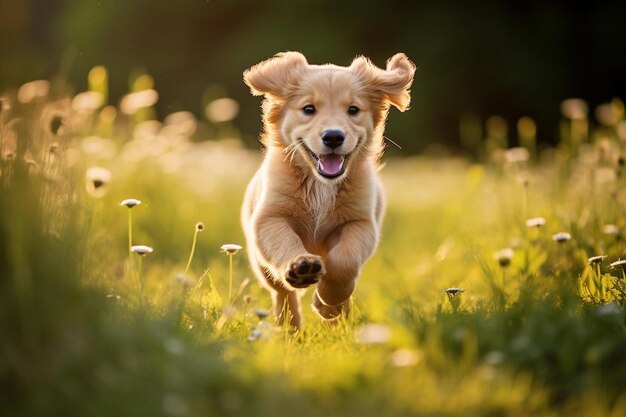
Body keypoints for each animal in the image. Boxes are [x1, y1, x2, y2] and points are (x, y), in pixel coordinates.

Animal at [241, 51, 412, 328]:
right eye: (308, 109)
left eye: (353, 110)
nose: (333, 137)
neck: (320, 184)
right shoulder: (270, 217)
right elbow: (285, 242)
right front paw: (301, 267)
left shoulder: (361, 222)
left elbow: (345, 261)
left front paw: (328, 303)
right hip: (261, 266)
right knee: (282, 293)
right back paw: (289, 327)